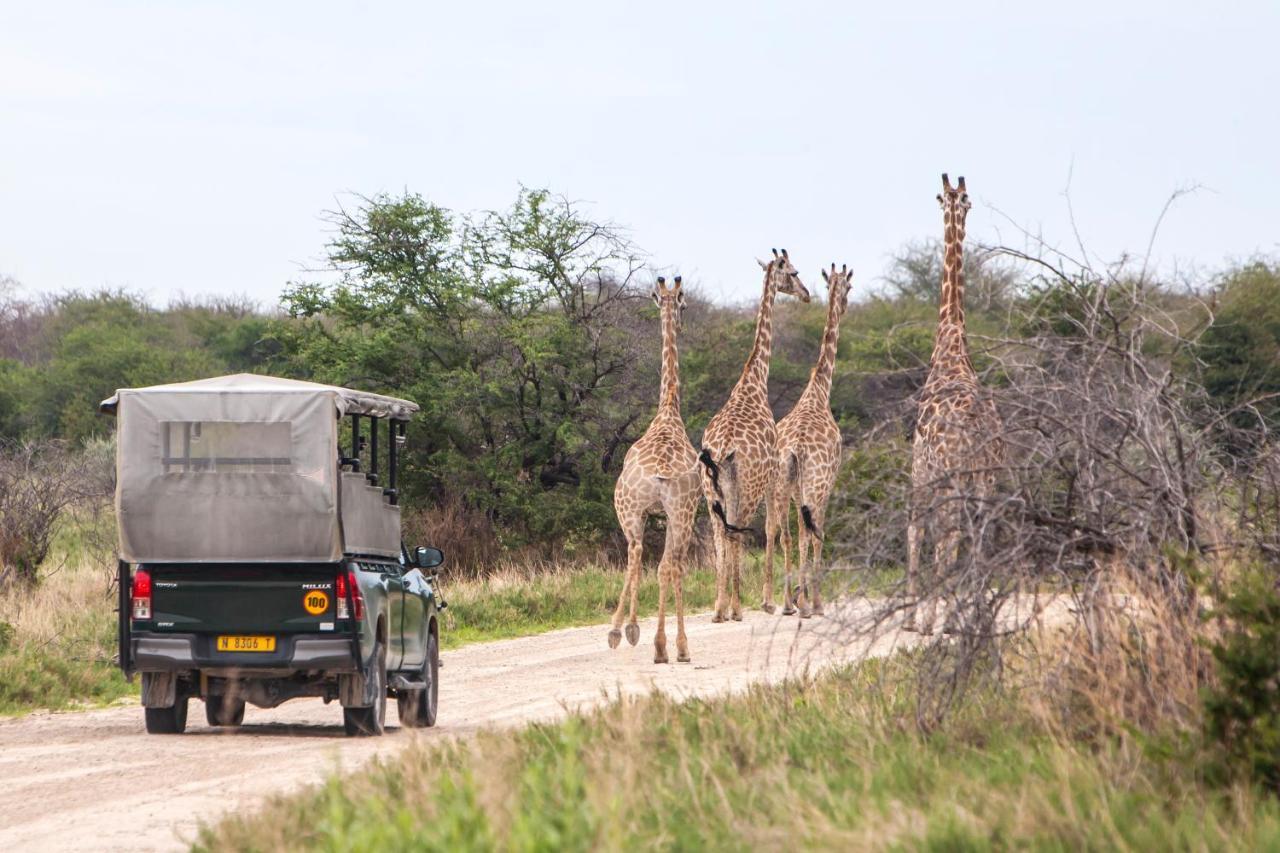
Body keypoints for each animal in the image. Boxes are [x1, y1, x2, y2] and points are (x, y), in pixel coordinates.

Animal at [701, 245, 808, 617]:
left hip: (710, 491)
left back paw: (719, 606)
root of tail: (721, 449)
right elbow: (770, 529)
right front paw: (769, 602)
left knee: (720, 533)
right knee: (735, 532)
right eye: (793, 272)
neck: (754, 382)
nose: (806, 294)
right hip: (744, 487)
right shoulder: (771, 473)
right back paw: (732, 607)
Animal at [762, 262, 855, 614]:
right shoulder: (828, 481)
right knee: (806, 533)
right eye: (848, 288)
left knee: (780, 532)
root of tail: (796, 447)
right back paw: (806, 603)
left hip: (781, 483)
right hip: (812, 482)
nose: (845, 304)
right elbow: (819, 534)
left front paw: (797, 594)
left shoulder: (793, 486)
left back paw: (785, 602)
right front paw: (815, 600)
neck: (819, 390)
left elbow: (793, 533)